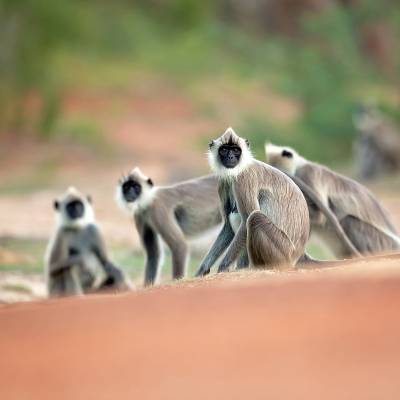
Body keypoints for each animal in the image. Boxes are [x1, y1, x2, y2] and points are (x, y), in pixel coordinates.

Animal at [195, 127, 310, 276]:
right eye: (224, 150)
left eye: (236, 150)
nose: (230, 157)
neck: (238, 169)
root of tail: (298, 255)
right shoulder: (223, 183)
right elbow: (228, 226)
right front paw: (203, 269)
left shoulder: (243, 178)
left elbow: (246, 221)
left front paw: (223, 267)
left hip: (283, 251)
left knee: (254, 218)